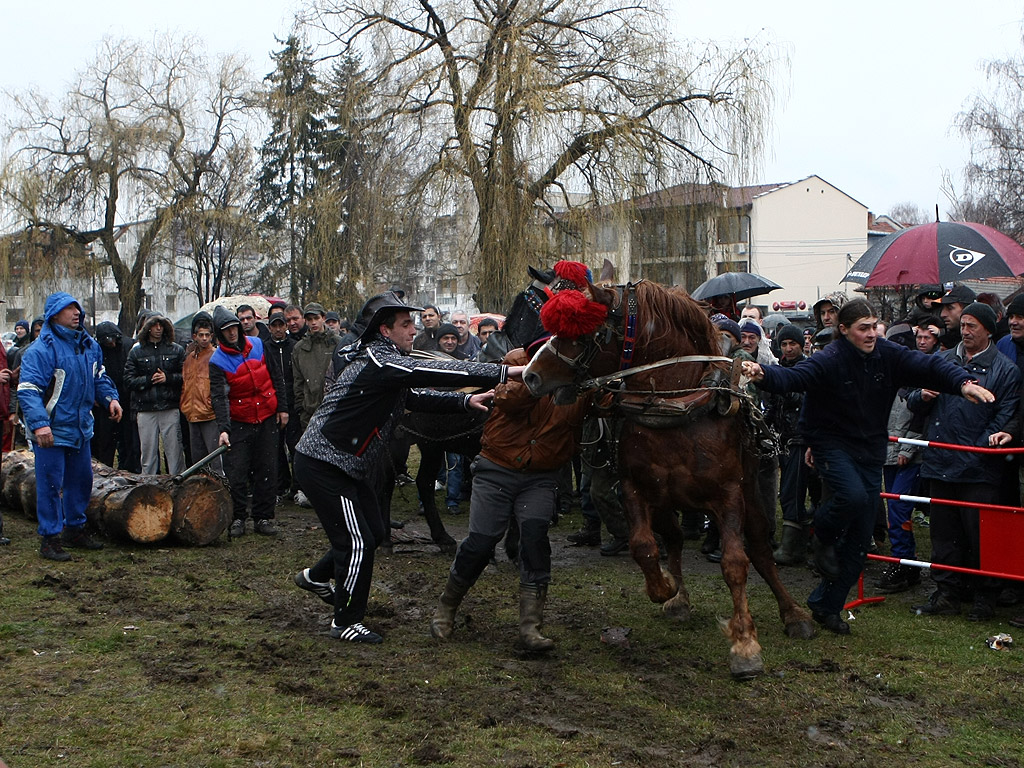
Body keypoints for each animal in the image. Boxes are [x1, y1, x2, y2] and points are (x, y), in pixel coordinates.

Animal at [524, 280, 811, 684]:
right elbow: (643, 547)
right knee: (672, 538)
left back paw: (793, 613)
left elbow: (735, 564)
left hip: (751, 495)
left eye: (581, 333)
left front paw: (744, 644)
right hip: (665, 502)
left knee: (759, 548)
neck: (676, 403)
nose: (530, 375)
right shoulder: (635, 488)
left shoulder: (728, 496)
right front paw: (665, 588)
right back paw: (680, 598)